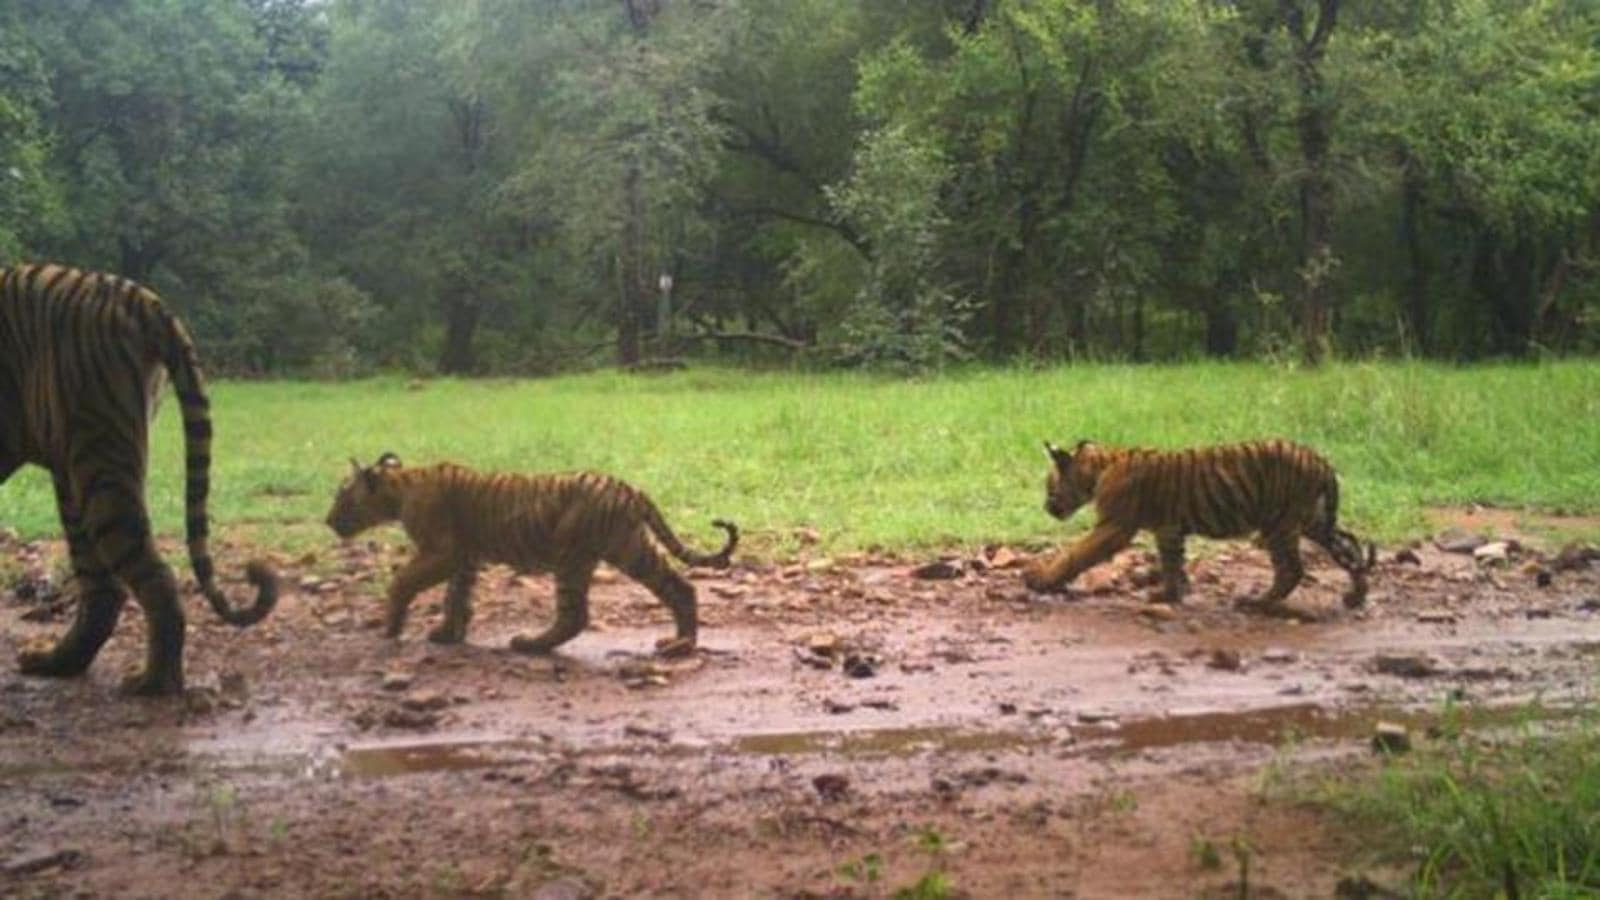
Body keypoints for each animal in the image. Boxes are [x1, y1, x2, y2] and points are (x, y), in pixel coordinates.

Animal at [0, 259, 280, 695]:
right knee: (104, 588)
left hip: (99, 458)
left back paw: (152, 681)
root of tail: (130, 293)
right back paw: (57, 662)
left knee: (154, 578)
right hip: (75, 473)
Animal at [331, 454, 742, 650]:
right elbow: (456, 596)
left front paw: (392, 626)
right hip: (628, 547)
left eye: (341, 497)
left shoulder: (442, 552)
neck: (399, 489)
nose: (327, 519)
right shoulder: (464, 557)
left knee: (574, 616)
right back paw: (681, 643)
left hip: (574, 554)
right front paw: (449, 634)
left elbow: (403, 582)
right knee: (679, 587)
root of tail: (631, 488)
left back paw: (529, 644)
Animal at [1024, 438, 1376, 611]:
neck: (1100, 467)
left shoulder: (1115, 527)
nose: (1046, 507)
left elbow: (1077, 554)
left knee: (1292, 569)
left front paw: (1041, 579)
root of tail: (1321, 460)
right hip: (1313, 521)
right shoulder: (1168, 530)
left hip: (1280, 524)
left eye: (1049, 487)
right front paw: (1169, 595)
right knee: (1350, 549)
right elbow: (1171, 563)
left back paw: (1256, 602)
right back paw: (1355, 597)